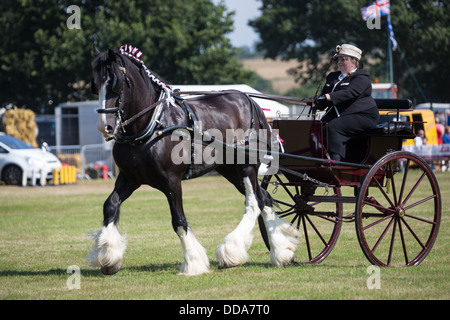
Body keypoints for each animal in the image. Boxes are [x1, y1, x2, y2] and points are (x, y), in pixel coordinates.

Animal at [87, 45, 298, 276]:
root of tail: (251, 103)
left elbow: (179, 221)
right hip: (229, 169)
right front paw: (108, 256)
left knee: (254, 203)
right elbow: (110, 205)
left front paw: (193, 262)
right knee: (265, 198)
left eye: (114, 83)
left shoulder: (171, 181)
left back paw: (231, 250)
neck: (152, 125)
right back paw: (281, 251)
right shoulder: (129, 178)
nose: (104, 126)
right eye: (95, 84)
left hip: (246, 166)